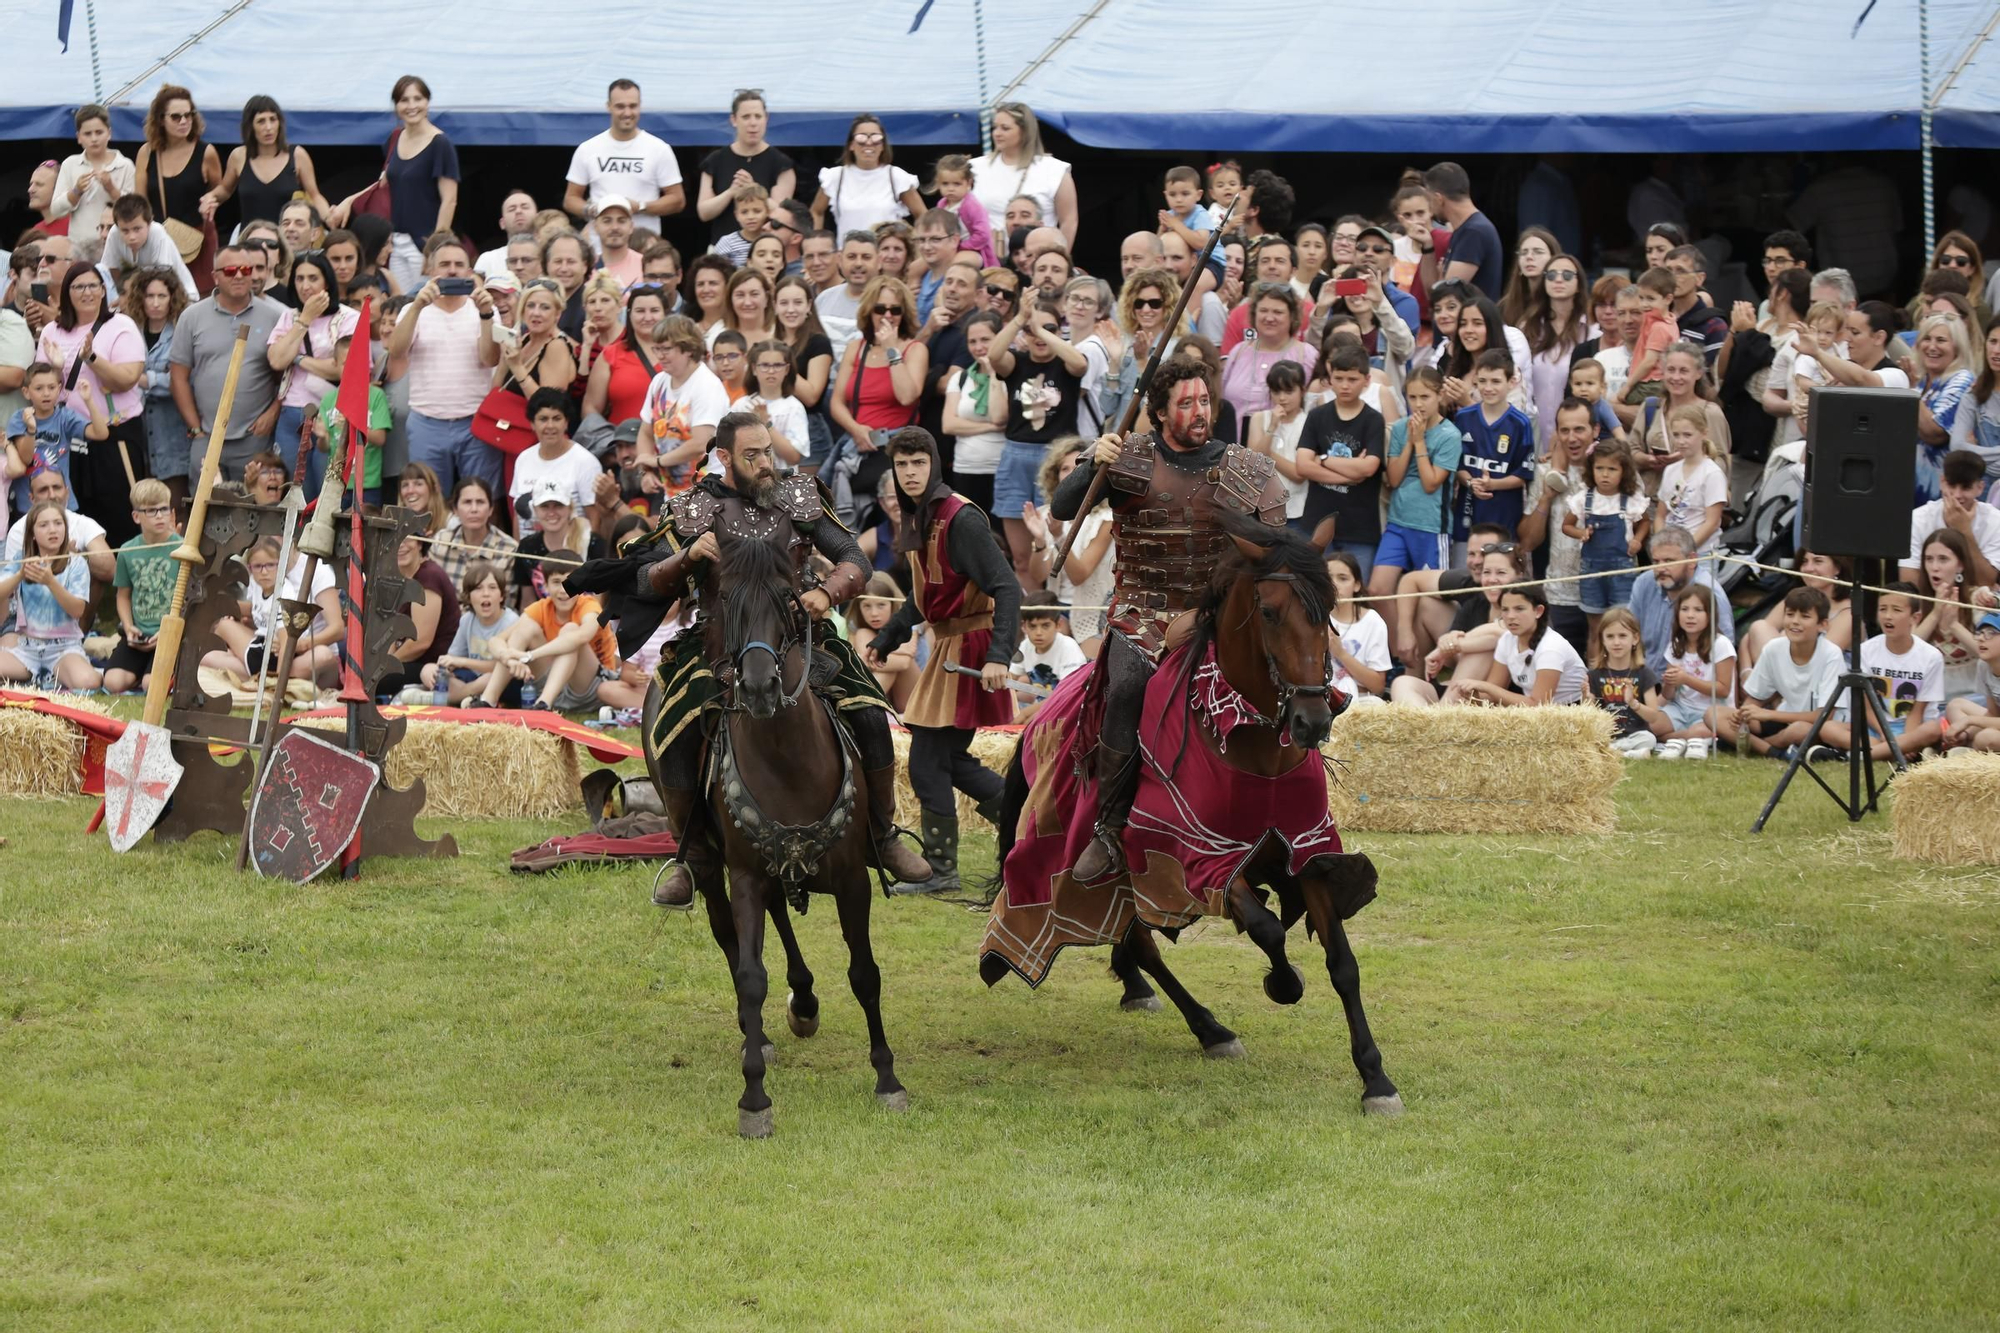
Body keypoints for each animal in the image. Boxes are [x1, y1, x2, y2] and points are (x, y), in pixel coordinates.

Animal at [640, 528, 908, 1128]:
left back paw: (804, 1002)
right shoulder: (742, 875)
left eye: (788, 600)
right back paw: (758, 1030)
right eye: (726, 602)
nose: (760, 686)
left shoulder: (852, 878)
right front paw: (754, 1097)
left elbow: (865, 973)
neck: (788, 760)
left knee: (781, 914)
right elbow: (749, 975)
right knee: (730, 931)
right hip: (715, 862)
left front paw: (887, 1079)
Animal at [988, 520, 1408, 1112]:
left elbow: (1342, 965)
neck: (1251, 744)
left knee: (1134, 942)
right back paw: (1210, 1028)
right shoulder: (1194, 862)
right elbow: (1266, 929)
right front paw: (1284, 984)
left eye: (1329, 609)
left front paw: (1375, 1078)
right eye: (1270, 612)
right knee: (1142, 943)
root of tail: (1036, 713)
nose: (1311, 721)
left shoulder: (1306, 852)